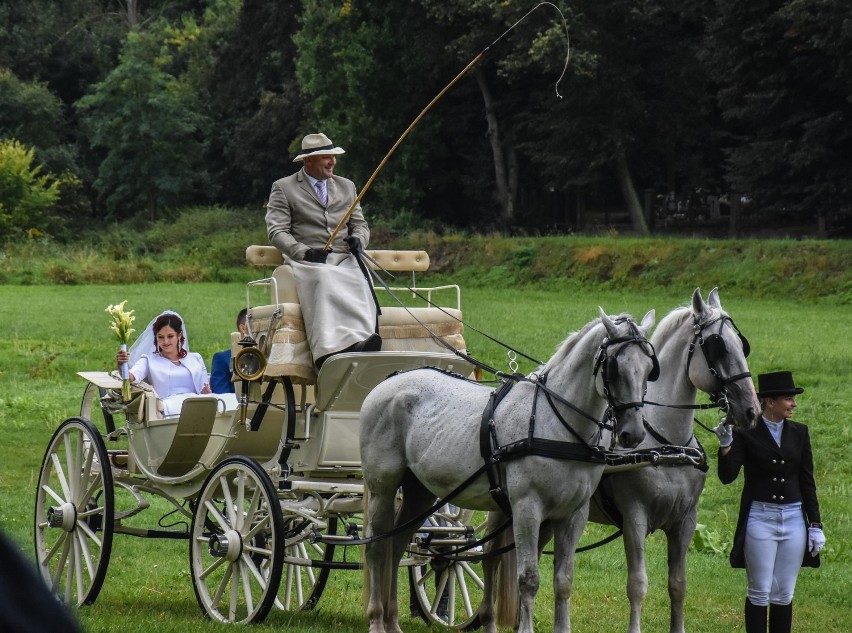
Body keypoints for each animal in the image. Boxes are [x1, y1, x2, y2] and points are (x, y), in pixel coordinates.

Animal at [360, 310, 660, 632]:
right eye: (614, 366)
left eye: (648, 369)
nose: (632, 434)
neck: (556, 424)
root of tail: (392, 379)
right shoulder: (527, 508)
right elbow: (528, 579)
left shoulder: (573, 514)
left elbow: (564, 581)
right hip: (382, 488)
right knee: (376, 547)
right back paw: (376, 619)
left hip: (420, 492)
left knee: (395, 546)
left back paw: (392, 622)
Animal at [588, 288, 764, 632]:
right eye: (718, 348)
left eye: (742, 345)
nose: (752, 410)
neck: (667, 443)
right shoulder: (634, 518)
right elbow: (638, 585)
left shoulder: (685, 522)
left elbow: (678, 585)